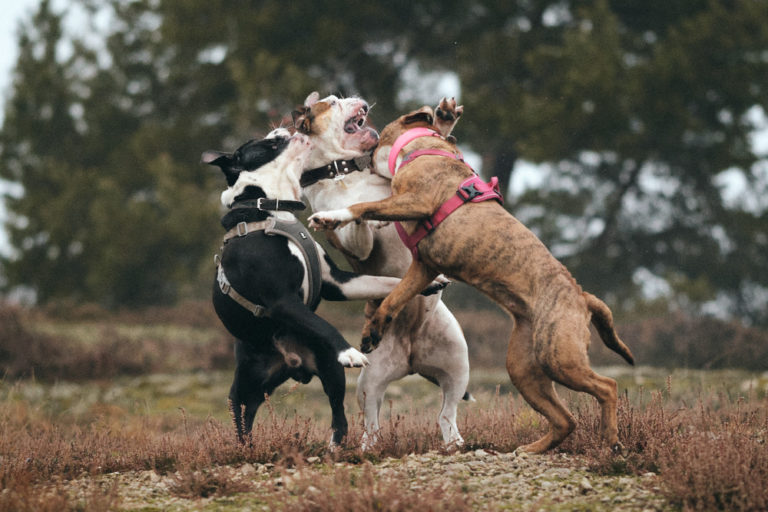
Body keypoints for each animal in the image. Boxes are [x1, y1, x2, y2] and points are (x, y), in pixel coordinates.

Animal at [204, 129, 444, 444]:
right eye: (272, 142)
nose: (288, 131)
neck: (269, 210)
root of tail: (290, 362)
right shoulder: (281, 300)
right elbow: (323, 325)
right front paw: (350, 352)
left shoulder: (337, 282)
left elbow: (383, 282)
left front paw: (429, 282)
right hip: (244, 388)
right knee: (243, 419)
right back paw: (247, 449)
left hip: (330, 369)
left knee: (337, 411)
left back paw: (335, 445)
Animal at [308, 106, 636, 454]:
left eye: (376, 137)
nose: (362, 157)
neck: (422, 148)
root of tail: (582, 296)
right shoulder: (423, 267)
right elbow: (394, 298)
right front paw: (373, 330)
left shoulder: (415, 201)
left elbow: (363, 206)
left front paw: (330, 217)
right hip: (524, 368)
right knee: (565, 419)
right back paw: (531, 449)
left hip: (559, 356)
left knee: (607, 386)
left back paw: (611, 441)